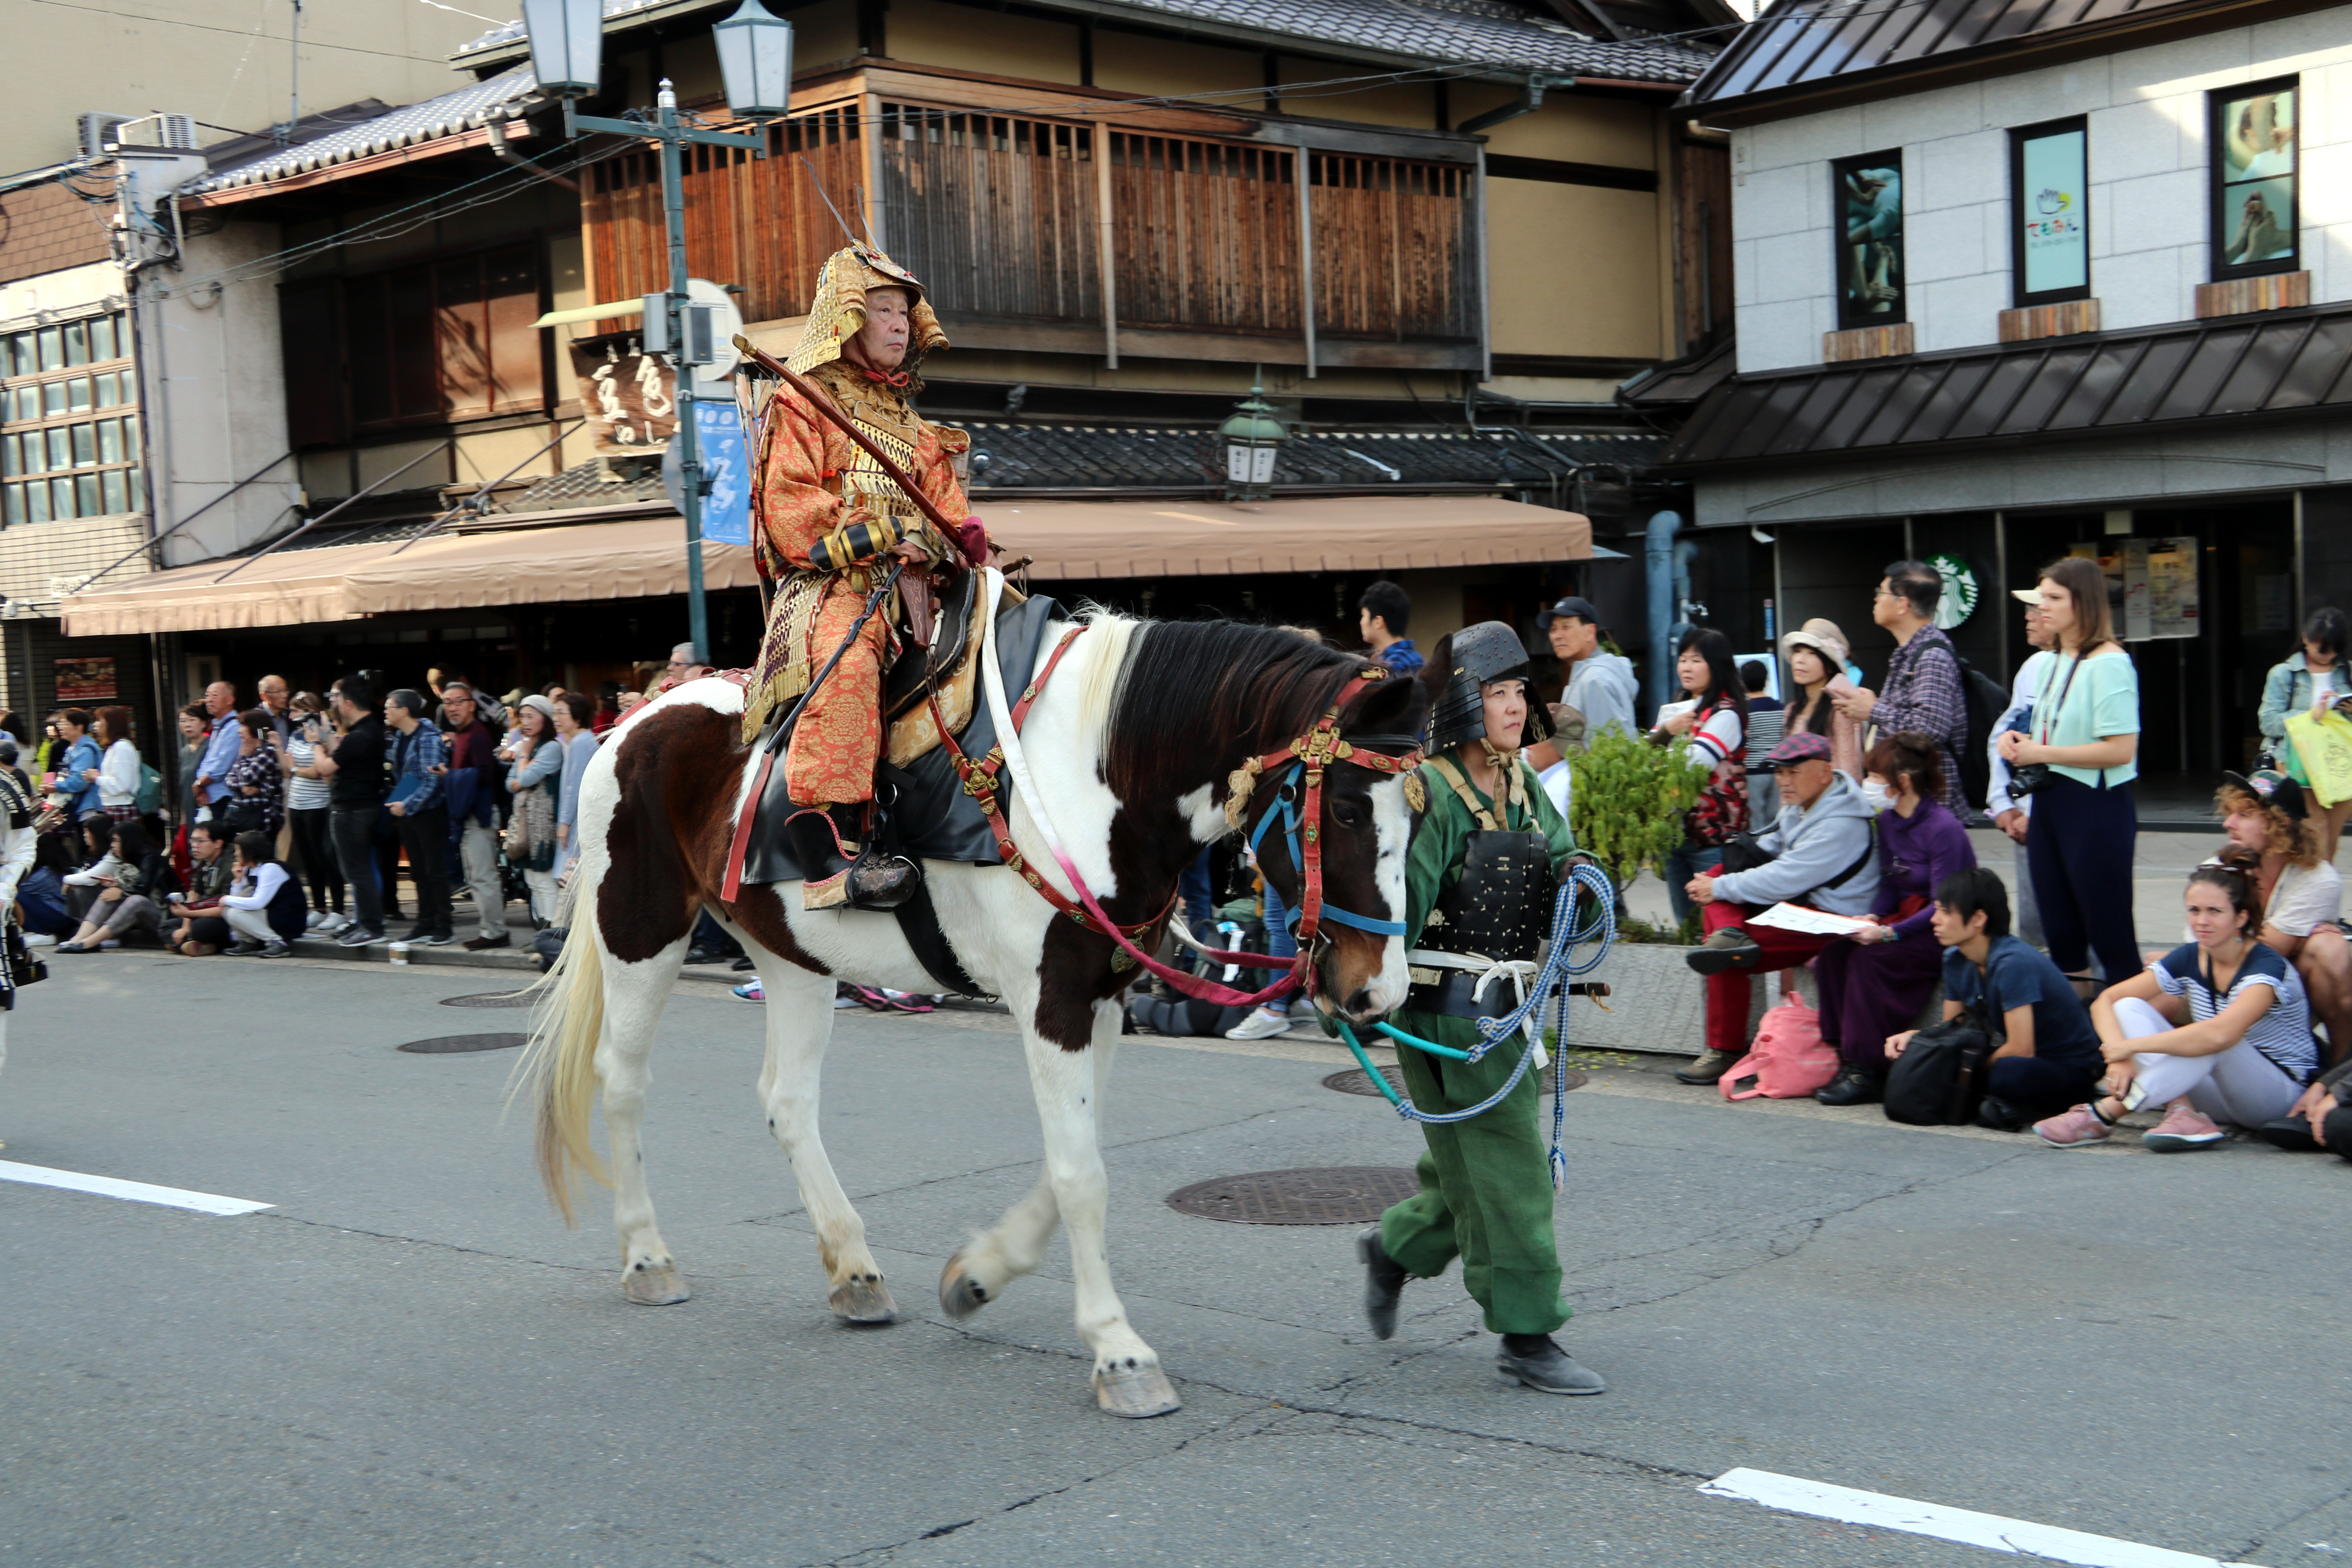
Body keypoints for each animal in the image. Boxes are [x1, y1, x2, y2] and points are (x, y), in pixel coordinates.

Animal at [516, 584, 1429, 1417]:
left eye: (1418, 821)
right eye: (1349, 809)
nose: (1377, 989)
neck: (1097, 779)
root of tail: (633, 720)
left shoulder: (1099, 992)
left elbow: (1071, 1162)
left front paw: (978, 1273)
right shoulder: (1052, 997)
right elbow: (1081, 1174)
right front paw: (1120, 1352)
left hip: (792, 951)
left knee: (788, 1099)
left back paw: (854, 1269)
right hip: (641, 925)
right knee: (623, 1081)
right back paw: (648, 1257)